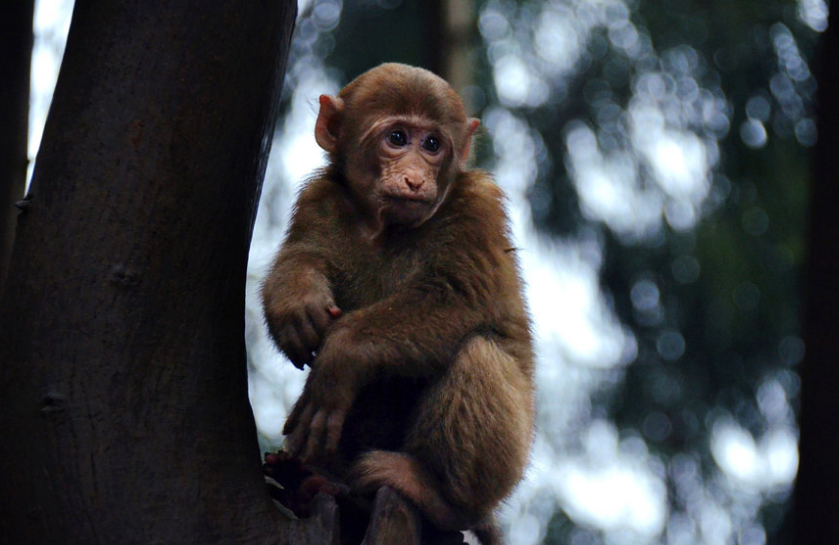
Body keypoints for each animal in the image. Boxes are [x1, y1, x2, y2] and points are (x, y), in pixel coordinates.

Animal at [262, 62, 536, 540]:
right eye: (396, 138)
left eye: (432, 145)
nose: (414, 177)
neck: (383, 227)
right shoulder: (321, 200)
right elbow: (303, 253)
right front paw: (294, 298)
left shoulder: (477, 208)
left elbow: (461, 300)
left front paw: (341, 356)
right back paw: (310, 483)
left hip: (502, 472)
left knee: (479, 352)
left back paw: (435, 494)